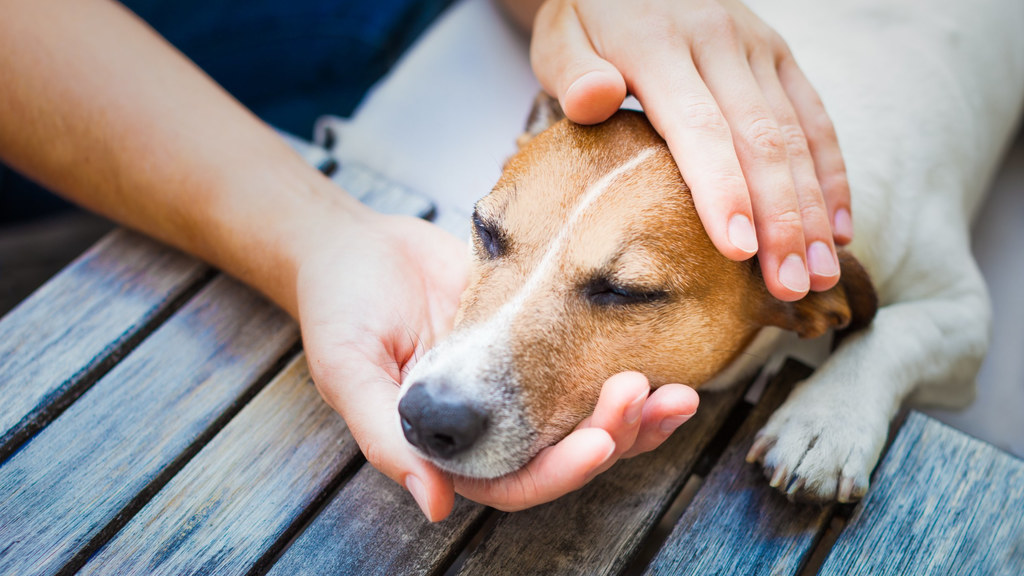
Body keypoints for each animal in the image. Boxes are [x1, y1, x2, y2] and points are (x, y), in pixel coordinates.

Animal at [393, 0, 1024, 502]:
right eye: (485, 229)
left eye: (627, 292)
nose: (428, 416)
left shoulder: (965, 313)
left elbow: (893, 330)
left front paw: (827, 420)